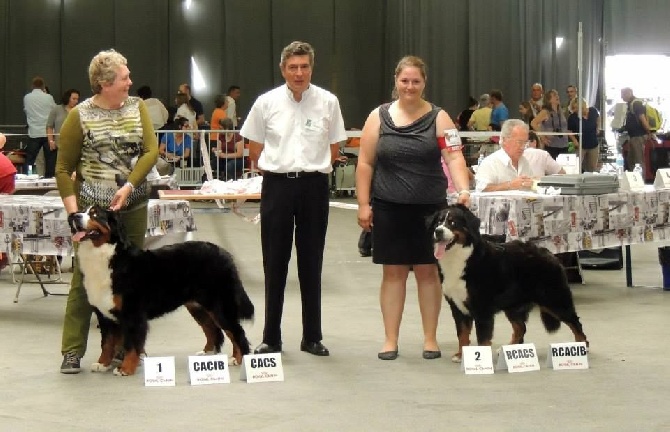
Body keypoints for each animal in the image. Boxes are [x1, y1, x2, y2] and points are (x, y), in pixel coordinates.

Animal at [70, 205, 255, 374]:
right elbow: (107, 343)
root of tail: (224, 253)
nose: (74, 216)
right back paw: (207, 354)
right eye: (82, 210)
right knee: (213, 330)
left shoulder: (133, 314)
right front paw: (102, 364)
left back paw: (238, 359)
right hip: (198, 307)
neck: (107, 258)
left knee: (237, 332)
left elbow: (131, 344)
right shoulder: (105, 314)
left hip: (219, 306)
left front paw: (125, 368)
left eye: (95, 214)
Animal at [430, 204, 588, 362]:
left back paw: (582, 346)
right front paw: (460, 355)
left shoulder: (482, 309)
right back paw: (508, 349)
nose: (438, 231)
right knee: (521, 327)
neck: (460, 258)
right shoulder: (457, 306)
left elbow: (482, 339)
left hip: (554, 300)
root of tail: (548, 253)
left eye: (452, 223)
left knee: (575, 322)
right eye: (438, 222)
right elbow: (462, 334)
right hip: (513, 305)